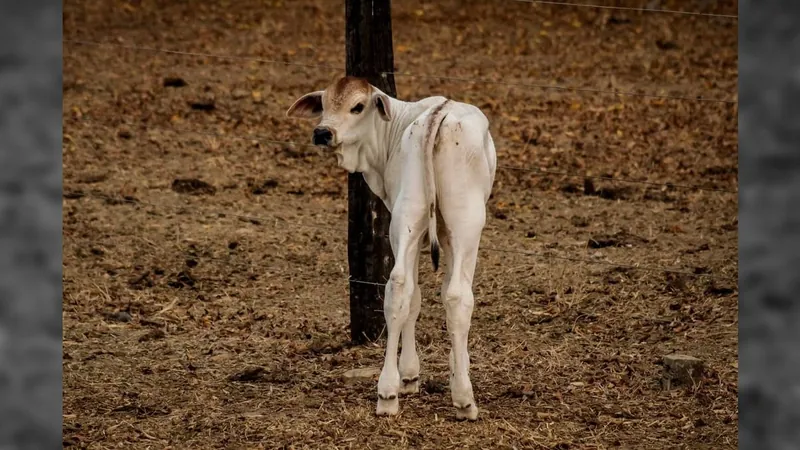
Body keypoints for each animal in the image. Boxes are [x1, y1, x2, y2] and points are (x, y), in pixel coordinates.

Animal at [288, 76, 496, 418]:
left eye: (357, 106)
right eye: (325, 104)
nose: (322, 132)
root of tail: (437, 116)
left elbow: (420, 297)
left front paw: (421, 375)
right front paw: (442, 372)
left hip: (416, 219)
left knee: (407, 288)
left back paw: (395, 393)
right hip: (456, 222)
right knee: (447, 295)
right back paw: (454, 398)